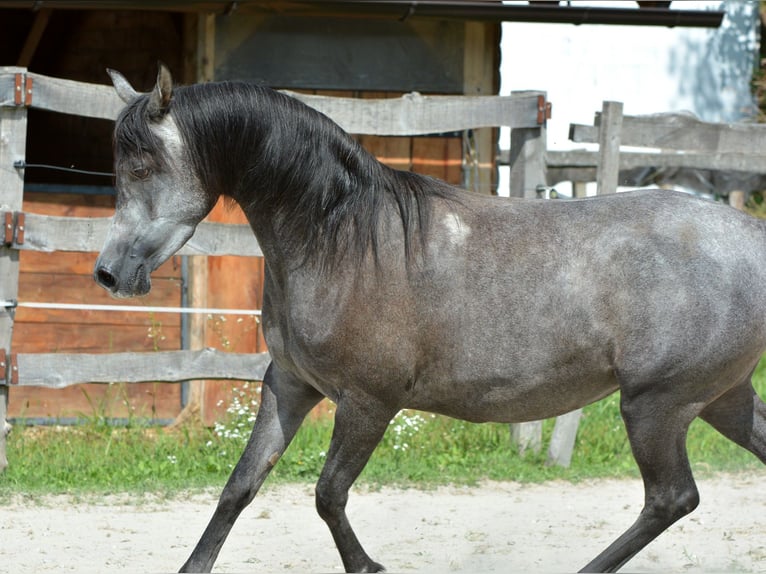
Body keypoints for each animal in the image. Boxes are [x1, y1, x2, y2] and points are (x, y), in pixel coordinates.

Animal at [94, 65, 766, 572]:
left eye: (142, 167)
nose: (108, 274)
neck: (341, 240)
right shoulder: (288, 385)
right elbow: (240, 486)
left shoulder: (369, 400)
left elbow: (328, 495)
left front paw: (369, 567)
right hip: (720, 397)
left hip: (657, 404)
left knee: (670, 498)